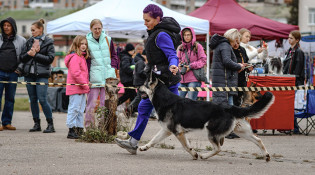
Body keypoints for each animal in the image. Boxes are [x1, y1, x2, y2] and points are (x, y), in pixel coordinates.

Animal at [139, 73, 276, 161]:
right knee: (258, 140)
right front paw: (144, 147)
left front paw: (194, 154)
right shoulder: (166, 130)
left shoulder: (178, 133)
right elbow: (153, 140)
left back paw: (204, 156)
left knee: (218, 148)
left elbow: (186, 147)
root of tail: (230, 107)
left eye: (144, 84)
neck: (165, 99)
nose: (137, 87)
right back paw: (266, 156)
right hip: (241, 132)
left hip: (212, 132)